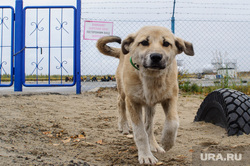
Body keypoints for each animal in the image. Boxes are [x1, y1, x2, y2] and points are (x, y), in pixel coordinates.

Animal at [95, 26, 193, 165]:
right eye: (144, 42)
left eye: (166, 43)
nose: (156, 57)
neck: (151, 77)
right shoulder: (133, 102)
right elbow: (140, 132)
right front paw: (146, 155)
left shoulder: (171, 98)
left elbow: (172, 122)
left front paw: (166, 142)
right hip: (123, 91)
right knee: (120, 102)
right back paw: (123, 125)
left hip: (150, 106)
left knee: (149, 126)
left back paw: (154, 145)